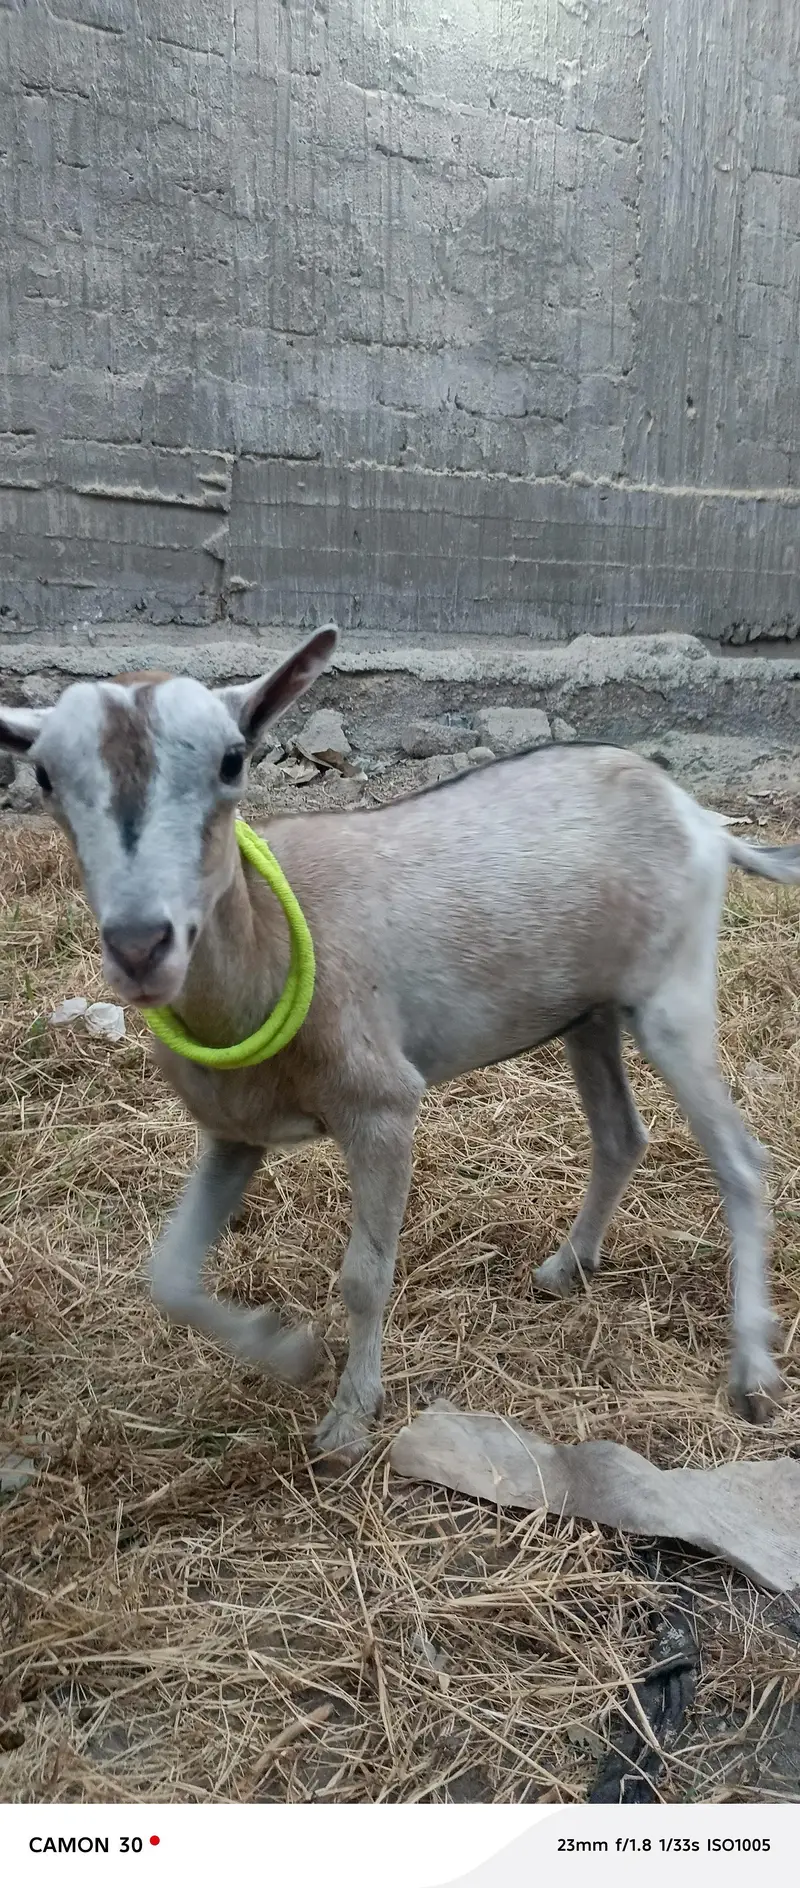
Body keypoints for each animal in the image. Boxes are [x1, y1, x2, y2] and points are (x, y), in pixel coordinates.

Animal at [1, 627, 797, 1461]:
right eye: (45, 776)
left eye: (232, 759)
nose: (140, 946)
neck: (271, 944)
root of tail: (698, 815)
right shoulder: (232, 1131)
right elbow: (170, 1276)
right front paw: (291, 1352)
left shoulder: (381, 1105)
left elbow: (365, 1275)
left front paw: (351, 1417)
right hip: (589, 1013)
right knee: (620, 1134)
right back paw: (565, 1268)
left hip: (674, 994)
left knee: (741, 1158)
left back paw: (753, 1374)